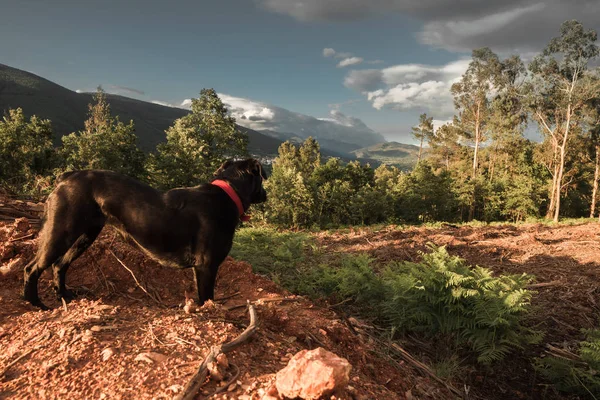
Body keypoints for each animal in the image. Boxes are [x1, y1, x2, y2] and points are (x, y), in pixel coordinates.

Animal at [23, 159, 268, 310]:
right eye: (261, 178)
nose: (265, 193)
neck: (228, 192)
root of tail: (66, 177)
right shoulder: (206, 266)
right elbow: (206, 298)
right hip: (60, 233)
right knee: (32, 268)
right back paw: (36, 304)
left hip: (84, 236)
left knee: (59, 265)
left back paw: (63, 296)